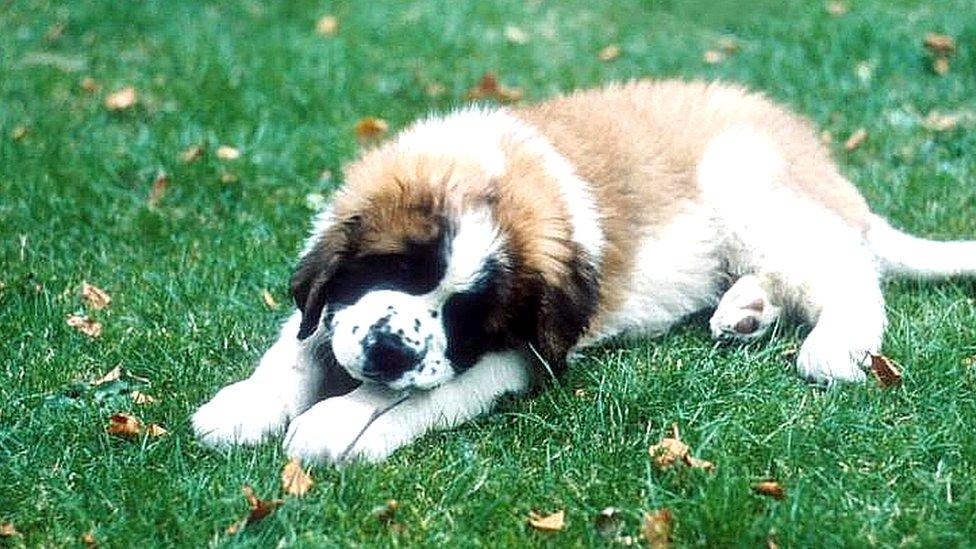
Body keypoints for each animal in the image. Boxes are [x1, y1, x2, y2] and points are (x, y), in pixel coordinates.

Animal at [193, 79, 976, 460]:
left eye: (467, 313)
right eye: (396, 267)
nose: (389, 350)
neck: (499, 172)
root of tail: (823, 165)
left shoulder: (518, 354)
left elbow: (418, 397)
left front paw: (339, 425)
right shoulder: (331, 305)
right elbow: (298, 345)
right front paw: (244, 406)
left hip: (746, 185)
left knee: (850, 270)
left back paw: (834, 344)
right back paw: (745, 311)